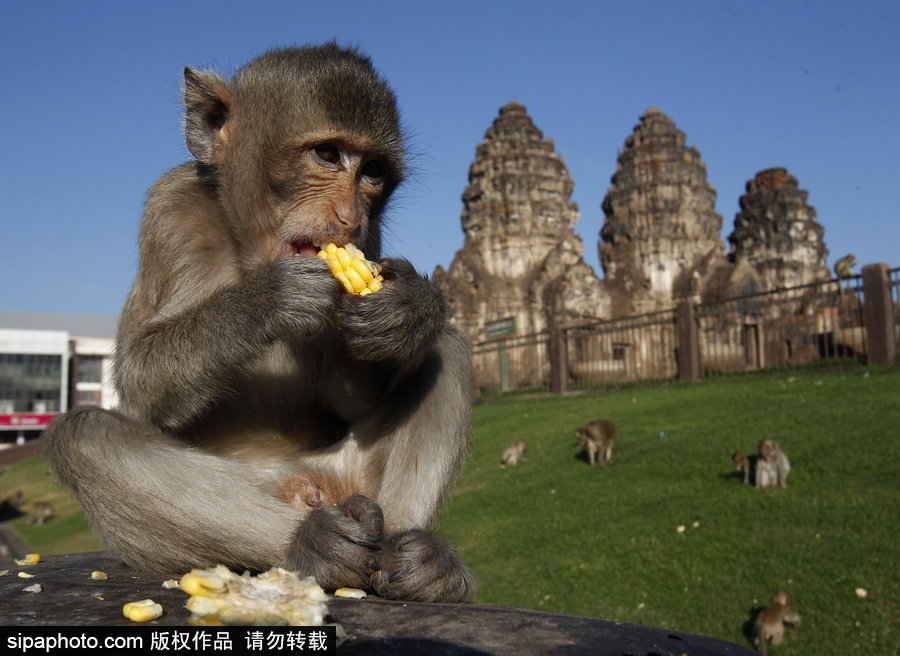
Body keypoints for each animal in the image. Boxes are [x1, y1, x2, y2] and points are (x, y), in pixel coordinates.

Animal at [40, 43, 478, 604]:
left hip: (349, 473)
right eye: (327, 155)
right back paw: (311, 544)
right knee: (86, 437)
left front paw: (409, 311)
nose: (349, 216)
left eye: (374, 171)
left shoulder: (372, 240)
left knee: (448, 349)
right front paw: (268, 299)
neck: (248, 249)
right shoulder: (169, 209)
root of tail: (312, 488)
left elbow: (352, 395)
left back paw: (415, 557)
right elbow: (140, 381)